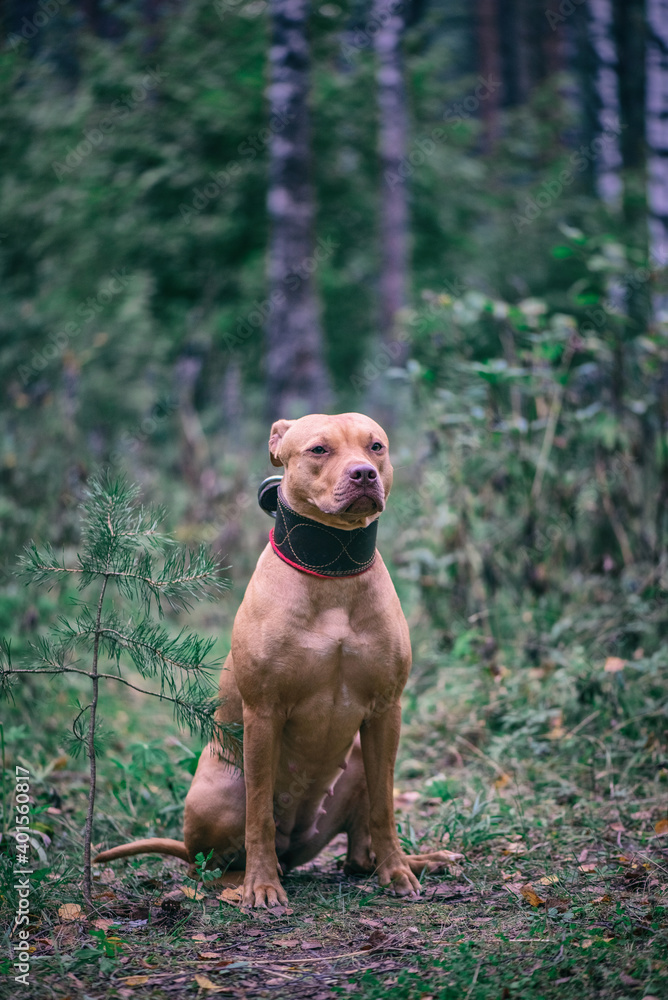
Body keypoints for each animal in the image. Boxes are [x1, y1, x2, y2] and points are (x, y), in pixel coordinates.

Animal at [94, 412, 460, 908]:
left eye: (376, 446)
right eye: (319, 449)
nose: (363, 473)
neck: (333, 571)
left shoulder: (386, 711)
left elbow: (385, 806)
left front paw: (398, 871)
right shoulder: (263, 712)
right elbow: (259, 816)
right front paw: (263, 886)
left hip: (358, 759)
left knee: (355, 858)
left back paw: (414, 862)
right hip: (218, 790)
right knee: (207, 867)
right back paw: (244, 883)